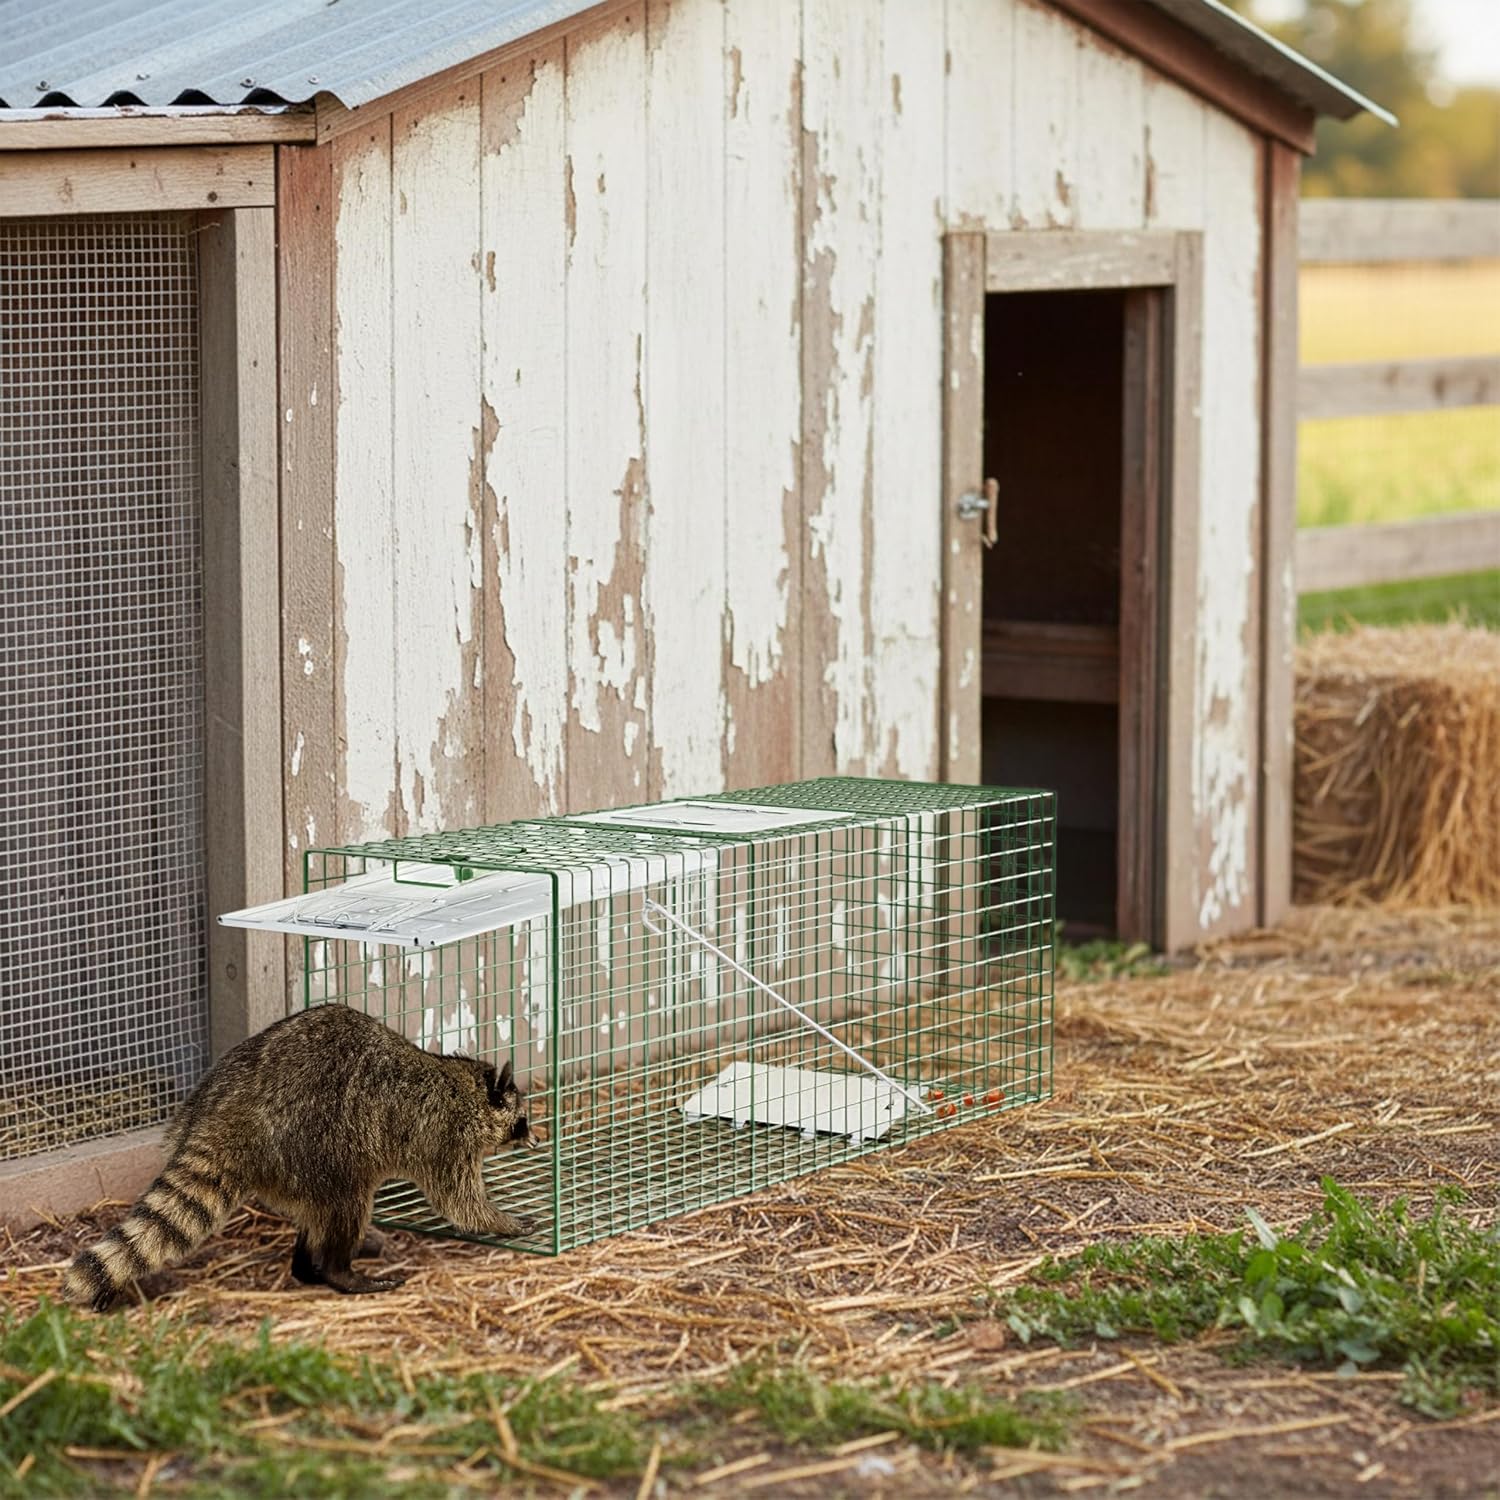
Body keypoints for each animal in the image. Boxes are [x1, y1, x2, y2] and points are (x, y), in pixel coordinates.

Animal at [62, 1005, 537, 1310]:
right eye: (523, 1121)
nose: (534, 1140)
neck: (466, 1082)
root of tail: (227, 1114)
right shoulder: (445, 1136)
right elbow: (459, 1200)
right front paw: (502, 1221)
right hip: (315, 1146)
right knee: (348, 1204)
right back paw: (336, 1271)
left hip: (274, 1156)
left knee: (319, 1212)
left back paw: (308, 1264)